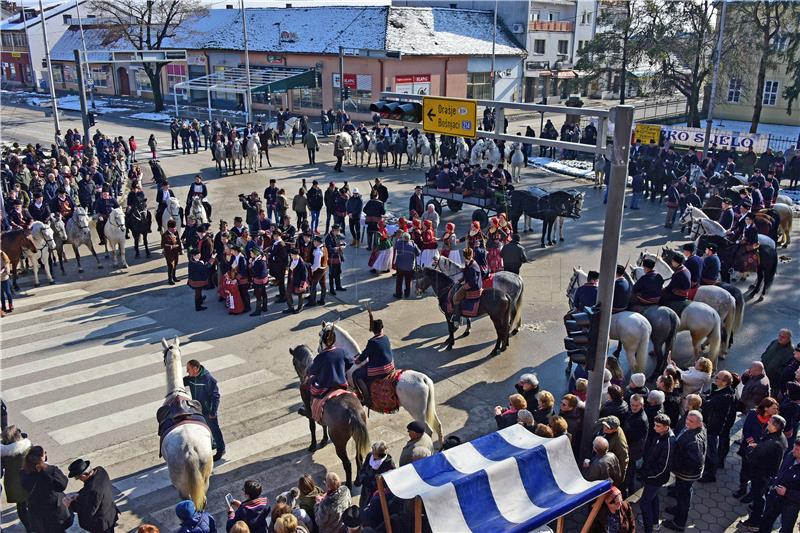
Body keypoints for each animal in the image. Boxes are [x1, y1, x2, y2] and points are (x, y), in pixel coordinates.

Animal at [290, 342, 372, 488]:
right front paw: (323, 440)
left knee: (347, 463)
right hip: (357, 437)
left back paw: (349, 485)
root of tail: (352, 412)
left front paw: (313, 445)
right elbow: (322, 426)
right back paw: (357, 480)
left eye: (294, 362)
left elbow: (312, 427)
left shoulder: (310, 412)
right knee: (358, 458)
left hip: (339, 443)